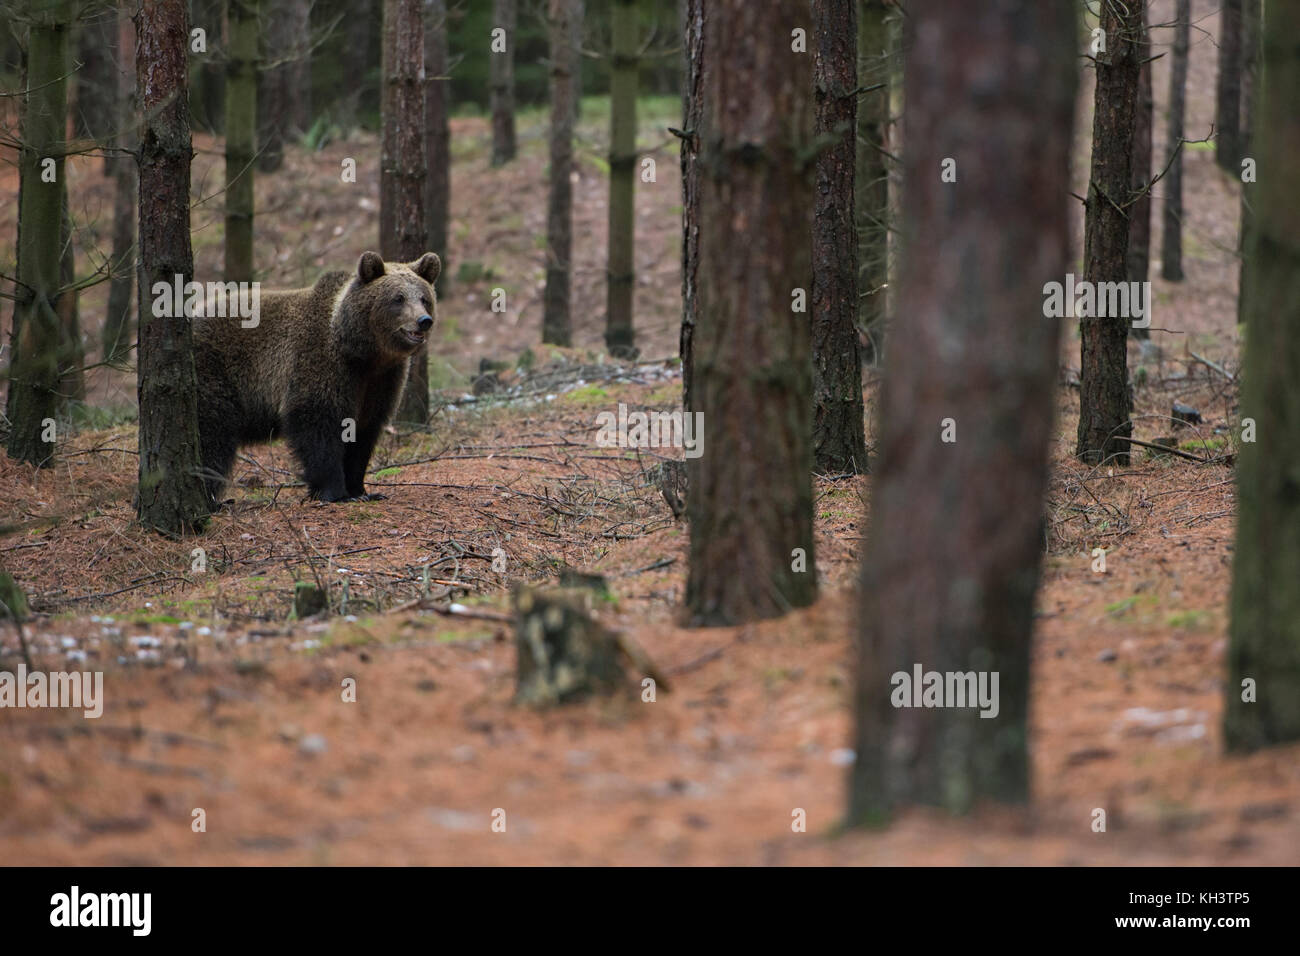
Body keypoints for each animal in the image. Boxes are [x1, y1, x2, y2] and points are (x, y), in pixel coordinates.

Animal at [193, 250, 440, 508]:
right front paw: (335, 492)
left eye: (424, 298)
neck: (362, 353)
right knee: (212, 437)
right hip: (213, 372)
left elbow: (363, 434)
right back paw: (214, 499)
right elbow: (318, 428)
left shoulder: (381, 381)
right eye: (398, 298)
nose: (423, 320)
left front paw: (362, 490)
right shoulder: (320, 365)